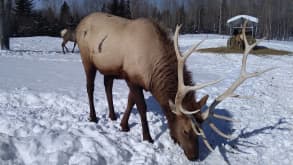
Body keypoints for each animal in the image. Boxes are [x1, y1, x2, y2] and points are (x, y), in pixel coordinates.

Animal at [75, 12, 272, 160]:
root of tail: (79, 24)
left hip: (108, 68)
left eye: (201, 130)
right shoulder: (131, 77)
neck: (152, 68)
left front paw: (123, 125)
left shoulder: (135, 79)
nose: (194, 157)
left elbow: (131, 101)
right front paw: (147, 137)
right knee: (90, 87)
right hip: (86, 58)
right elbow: (141, 106)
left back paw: (112, 115)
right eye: (186, 131)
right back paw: (93, 117)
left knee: (107, 85)